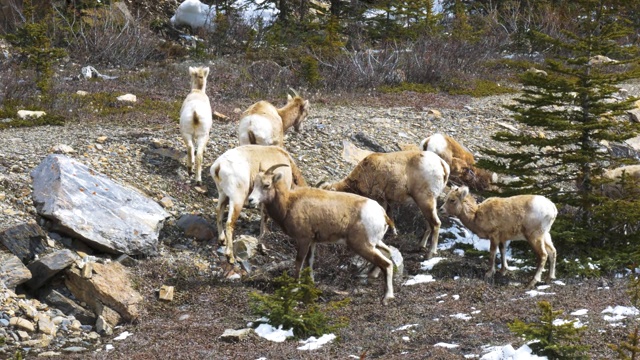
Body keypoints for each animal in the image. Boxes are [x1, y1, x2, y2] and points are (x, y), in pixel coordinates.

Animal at [249, 165, 396, 306]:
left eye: (266, 185)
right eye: (254, 183)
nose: (251, 200)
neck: (289, 203)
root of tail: (382, 214)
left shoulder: (303, 240)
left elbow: (299, 261)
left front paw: (295, 286)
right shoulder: (312, 242)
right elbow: (309, 262)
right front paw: (310, 284)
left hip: (362, 246)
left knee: (387, 263)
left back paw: (386, 298)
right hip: (375, 243)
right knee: (388, 252)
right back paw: (372, 276)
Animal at [320, 150, 450, 258]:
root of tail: (441, 164)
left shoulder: (380, 199)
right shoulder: (388, 201)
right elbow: (390, 217)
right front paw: (394, 234)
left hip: (425, 200)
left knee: (436, 223)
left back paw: (430, 254)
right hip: (428, 202)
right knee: (429, 224)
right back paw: (421, 246)